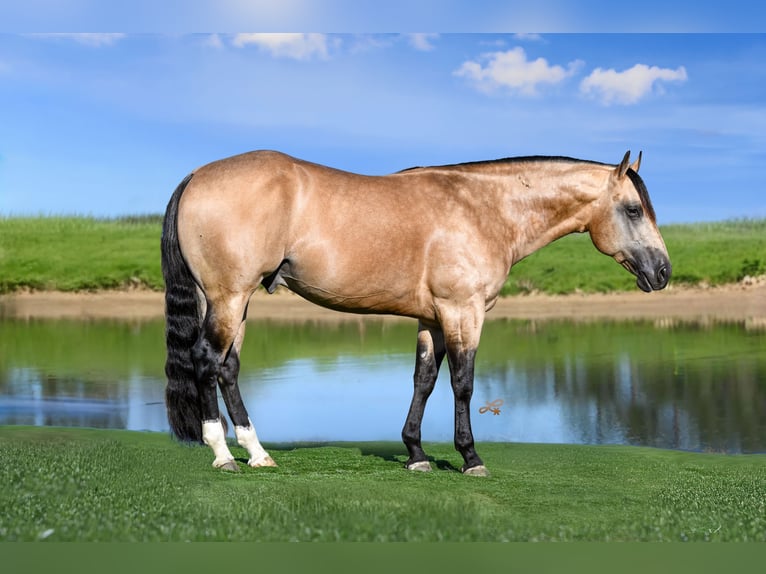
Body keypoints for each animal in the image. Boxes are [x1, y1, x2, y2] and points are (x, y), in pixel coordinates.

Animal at [161, 150, 671, 476]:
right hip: (229, 296)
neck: (482, 210)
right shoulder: (463, 312)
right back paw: (223, 454)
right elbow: (463, 384)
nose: (663, 271)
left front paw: (415, 454)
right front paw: (470, 458)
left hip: (231, 300)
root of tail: (197, 175)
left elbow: (423, 381)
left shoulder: (432, 319)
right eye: (633, 210)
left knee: (228, 368)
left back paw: (257, 453)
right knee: (206, 361)